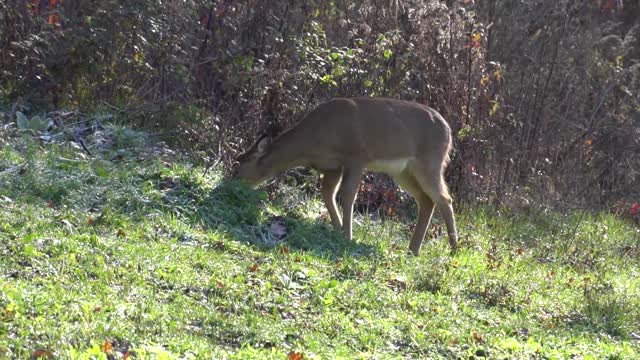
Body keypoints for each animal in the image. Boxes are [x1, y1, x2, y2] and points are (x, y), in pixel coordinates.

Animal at [238, 97, 458, 256]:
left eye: (238, 166)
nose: (232, 185)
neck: (312, 142)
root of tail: (449, 131)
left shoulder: (356, 157)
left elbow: (348, 195)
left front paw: (348, 236)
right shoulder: (332, 166)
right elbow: (328, 193)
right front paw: (338, 230)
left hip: (430, 161)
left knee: (444, 198)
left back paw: (453, 249)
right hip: (403, 171)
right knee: (427, 200)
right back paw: (413, 249)